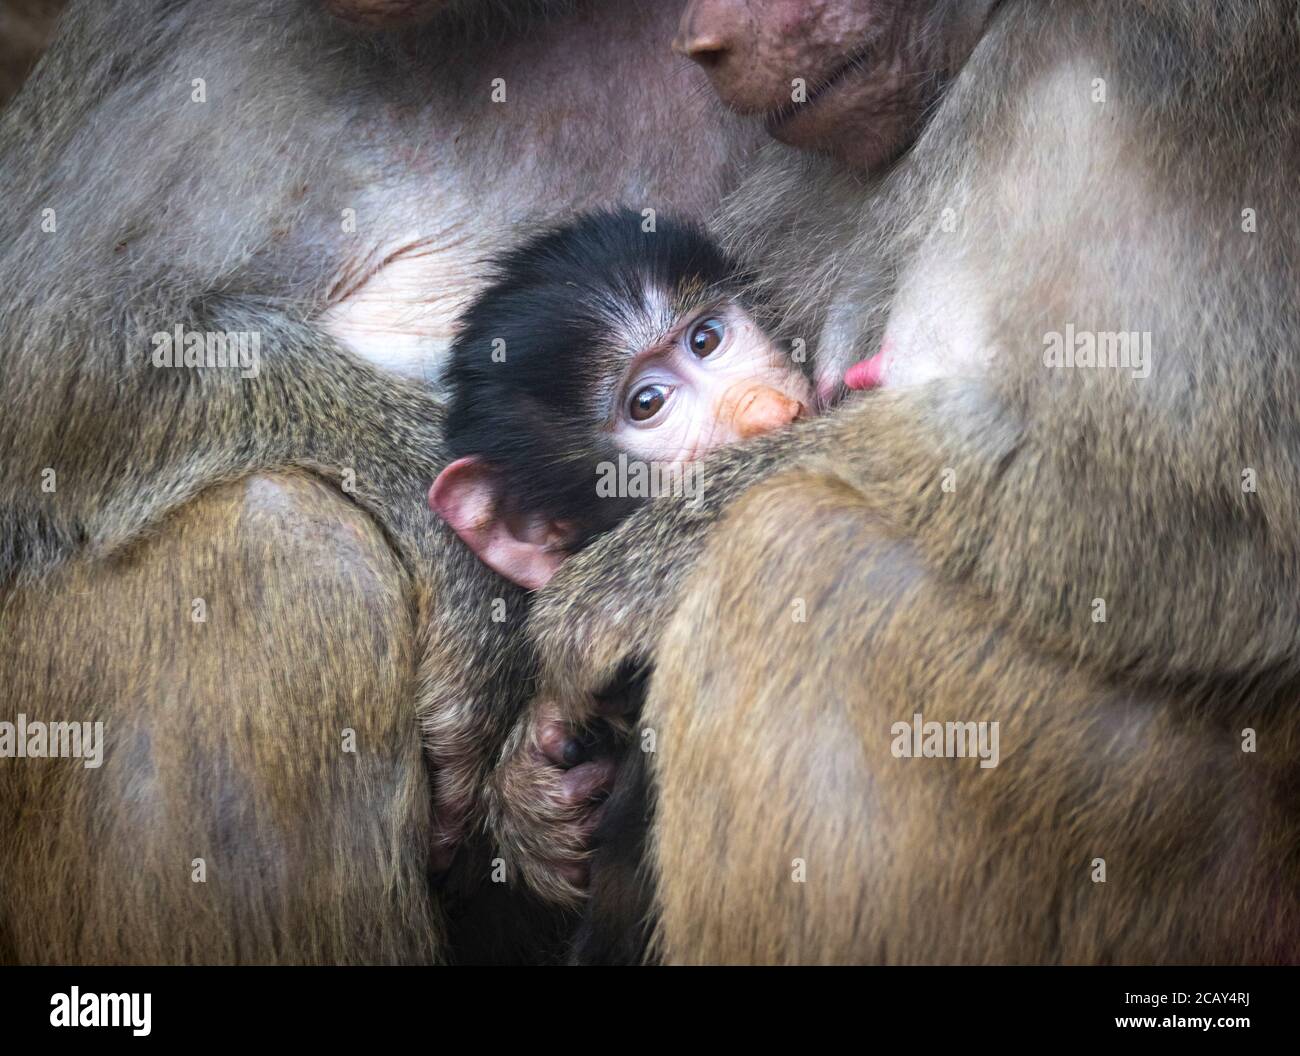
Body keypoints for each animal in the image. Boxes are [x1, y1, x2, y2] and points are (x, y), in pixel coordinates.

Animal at [499, 0, 1300, 962]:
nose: (701, 44)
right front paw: (532, 781)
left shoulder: (1170, 62)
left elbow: (1229, 523)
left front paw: (605, 598)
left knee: (794, 553)